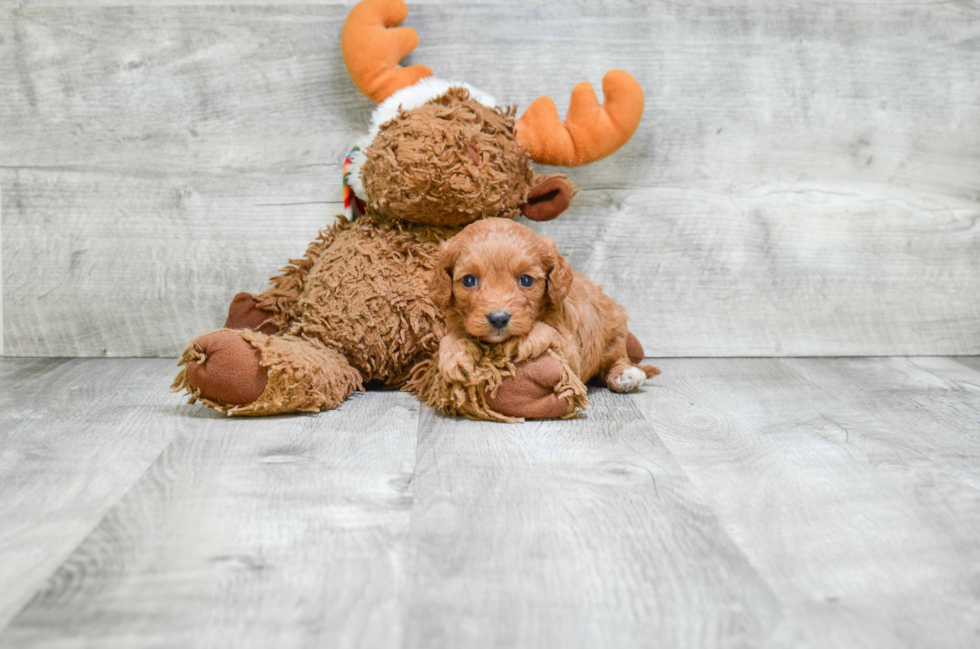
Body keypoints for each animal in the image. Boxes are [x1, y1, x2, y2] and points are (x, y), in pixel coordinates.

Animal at [434, 219, 660, 394]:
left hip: (613, 330)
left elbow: (550, 333)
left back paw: (626, 375)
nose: (498, 318)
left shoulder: (573, 354)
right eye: (469, 280)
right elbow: (452, 336)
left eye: (526, 280)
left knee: (616, 359)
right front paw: (454, 354)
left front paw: (527, 338)